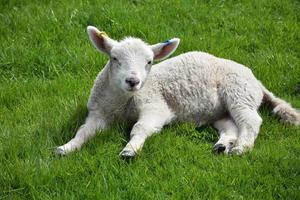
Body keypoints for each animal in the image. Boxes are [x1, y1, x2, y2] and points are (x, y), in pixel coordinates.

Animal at [55, 26, 300, 156]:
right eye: (114, 58)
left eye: (149, 62)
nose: (133, 81)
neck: (122, 102)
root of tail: (256, 80)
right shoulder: (98, 112)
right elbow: (83, 132)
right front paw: (66, 148)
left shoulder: (156, 106)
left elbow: (140, 128)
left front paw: (130, 150)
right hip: (220, 110)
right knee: (231, 125)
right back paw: (222, 145)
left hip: (238, 91)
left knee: (251, 120)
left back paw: (241, 148)